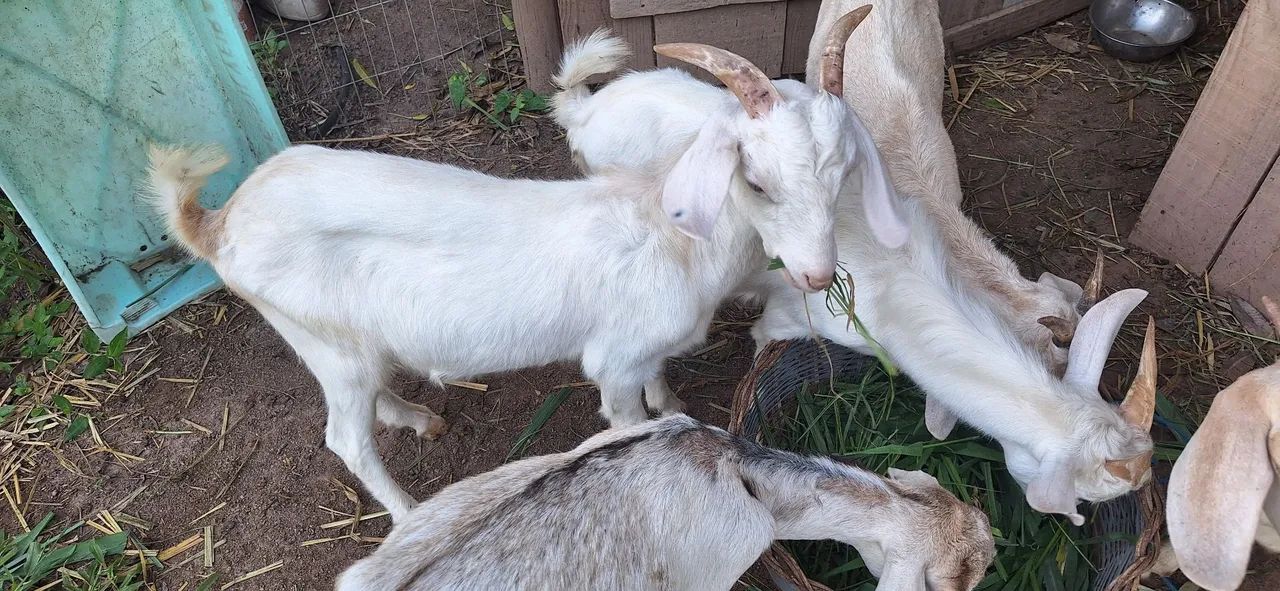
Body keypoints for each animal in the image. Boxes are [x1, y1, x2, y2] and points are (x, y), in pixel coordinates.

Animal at [143, 40, 883, 521]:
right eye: (755, 178)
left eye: (843, 171)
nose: (818, 272)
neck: (674, 236)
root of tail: (219, 221)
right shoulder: (613, 360)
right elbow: (629, 417)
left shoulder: (647, 348)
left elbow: (661, 384)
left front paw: (673, 402)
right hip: (329, 343)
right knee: (346, 440)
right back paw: (408, 510)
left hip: (340, 343)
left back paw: (419, 418)